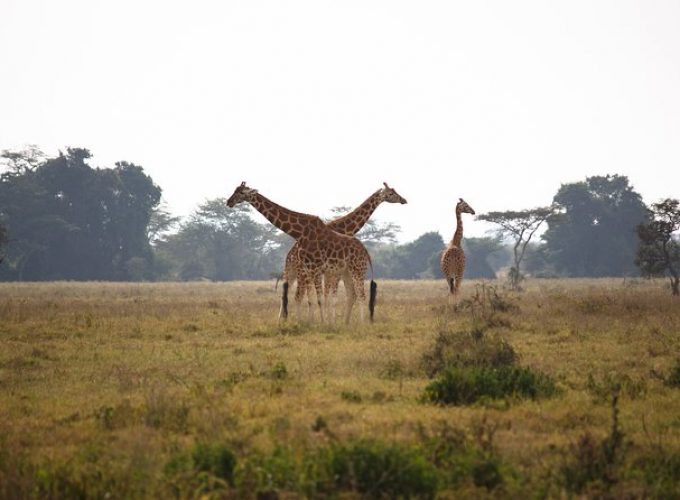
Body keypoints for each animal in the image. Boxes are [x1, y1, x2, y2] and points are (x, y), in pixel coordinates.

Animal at [227, 184, 378, 324]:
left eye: (241, 192)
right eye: (235, 190)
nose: (229, 202)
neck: (300, 232)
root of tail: (366, 252)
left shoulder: (316, 269)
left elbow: (320, 298)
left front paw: (324, 323)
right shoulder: (310, 269)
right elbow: (312, 298)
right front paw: (314, 322)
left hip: (356, 270)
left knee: (361, 295)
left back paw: (361, 324)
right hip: (341, 272)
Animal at [280, 183, 406, 320]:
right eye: (391, 193)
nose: (403, 200)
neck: (344, 228)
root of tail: (289, 256)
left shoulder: (334, 270)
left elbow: (333, 295)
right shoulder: (333, 270)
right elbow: (330, 295)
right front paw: (330, 320)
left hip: (292, 272)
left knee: (289, 294)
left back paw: (284, 320)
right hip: (301, 272)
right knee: (298, 295)